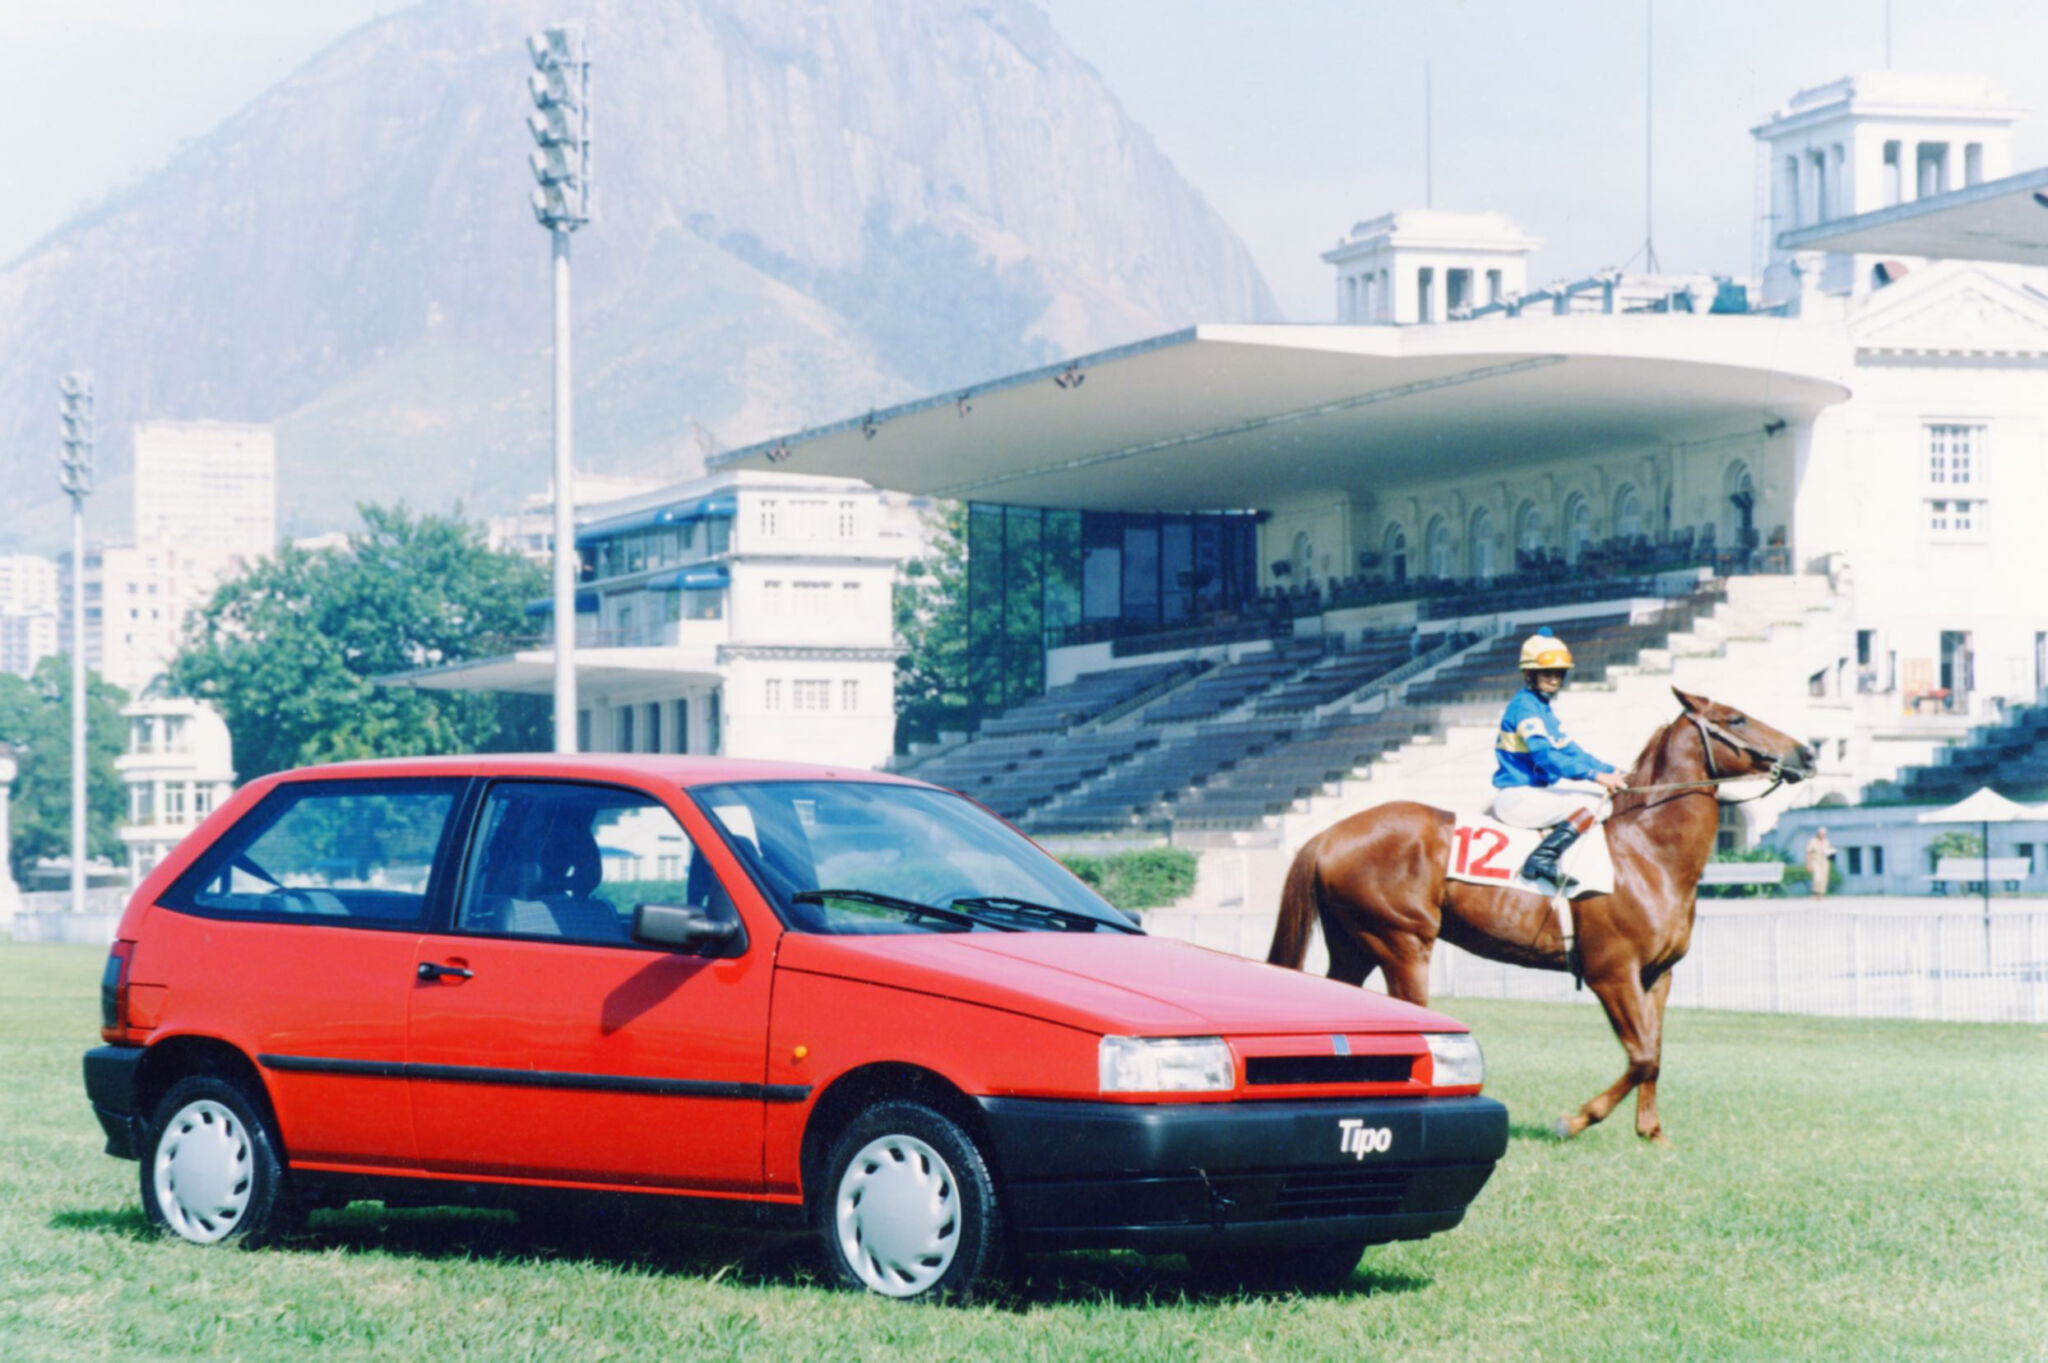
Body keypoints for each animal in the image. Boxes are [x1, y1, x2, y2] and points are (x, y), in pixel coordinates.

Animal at [1269, 683, 1818, 1137]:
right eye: (1736, 717)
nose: (1807, 752)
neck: (1647, 853)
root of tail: (1328, 834)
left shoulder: (1657, 975)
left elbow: (1656, 1053)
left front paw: (1651, 1132)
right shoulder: (1611, 973)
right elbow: (1640, 1055)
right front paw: (1575, 1120)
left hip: (1355, 945)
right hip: (1401, 942)